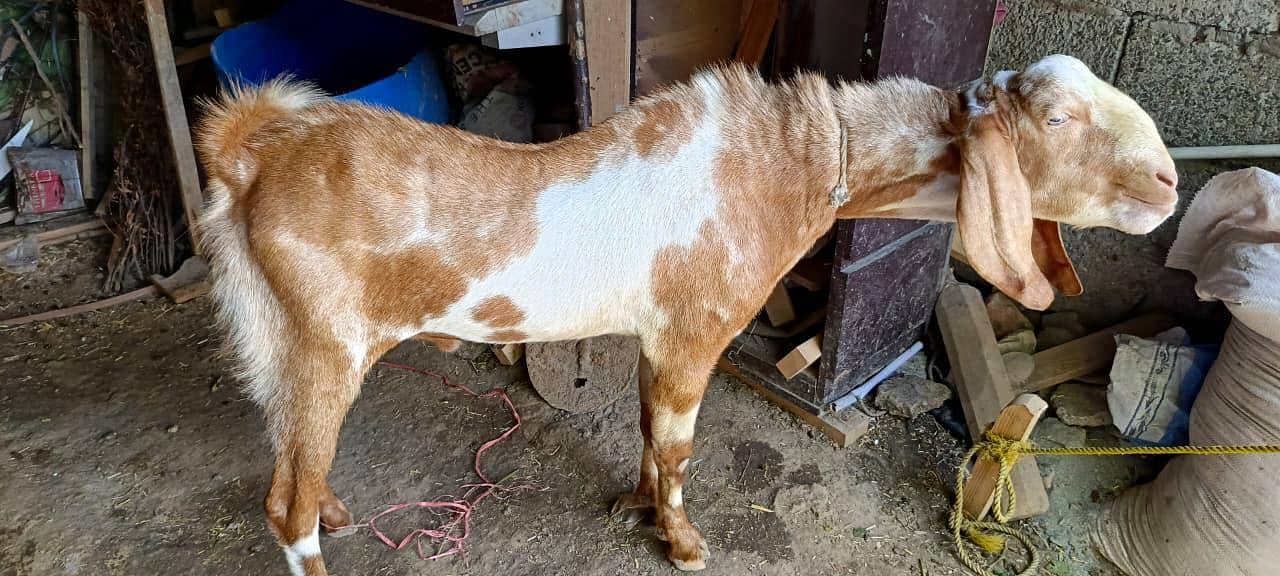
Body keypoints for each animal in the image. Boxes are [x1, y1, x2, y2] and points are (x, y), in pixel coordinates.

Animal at [193, 54, 1178, 575]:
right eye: (1056, 117)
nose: (1170, 183)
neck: (793, 168)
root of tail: (249, 153)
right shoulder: (698, 333)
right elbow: (677, 448)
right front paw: (684, 539)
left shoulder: (657, 336)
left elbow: (643, 429)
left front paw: (632, 505)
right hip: (327, 342)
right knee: (283, 504)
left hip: (282, 340)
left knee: (291, 453)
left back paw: (339, 510)